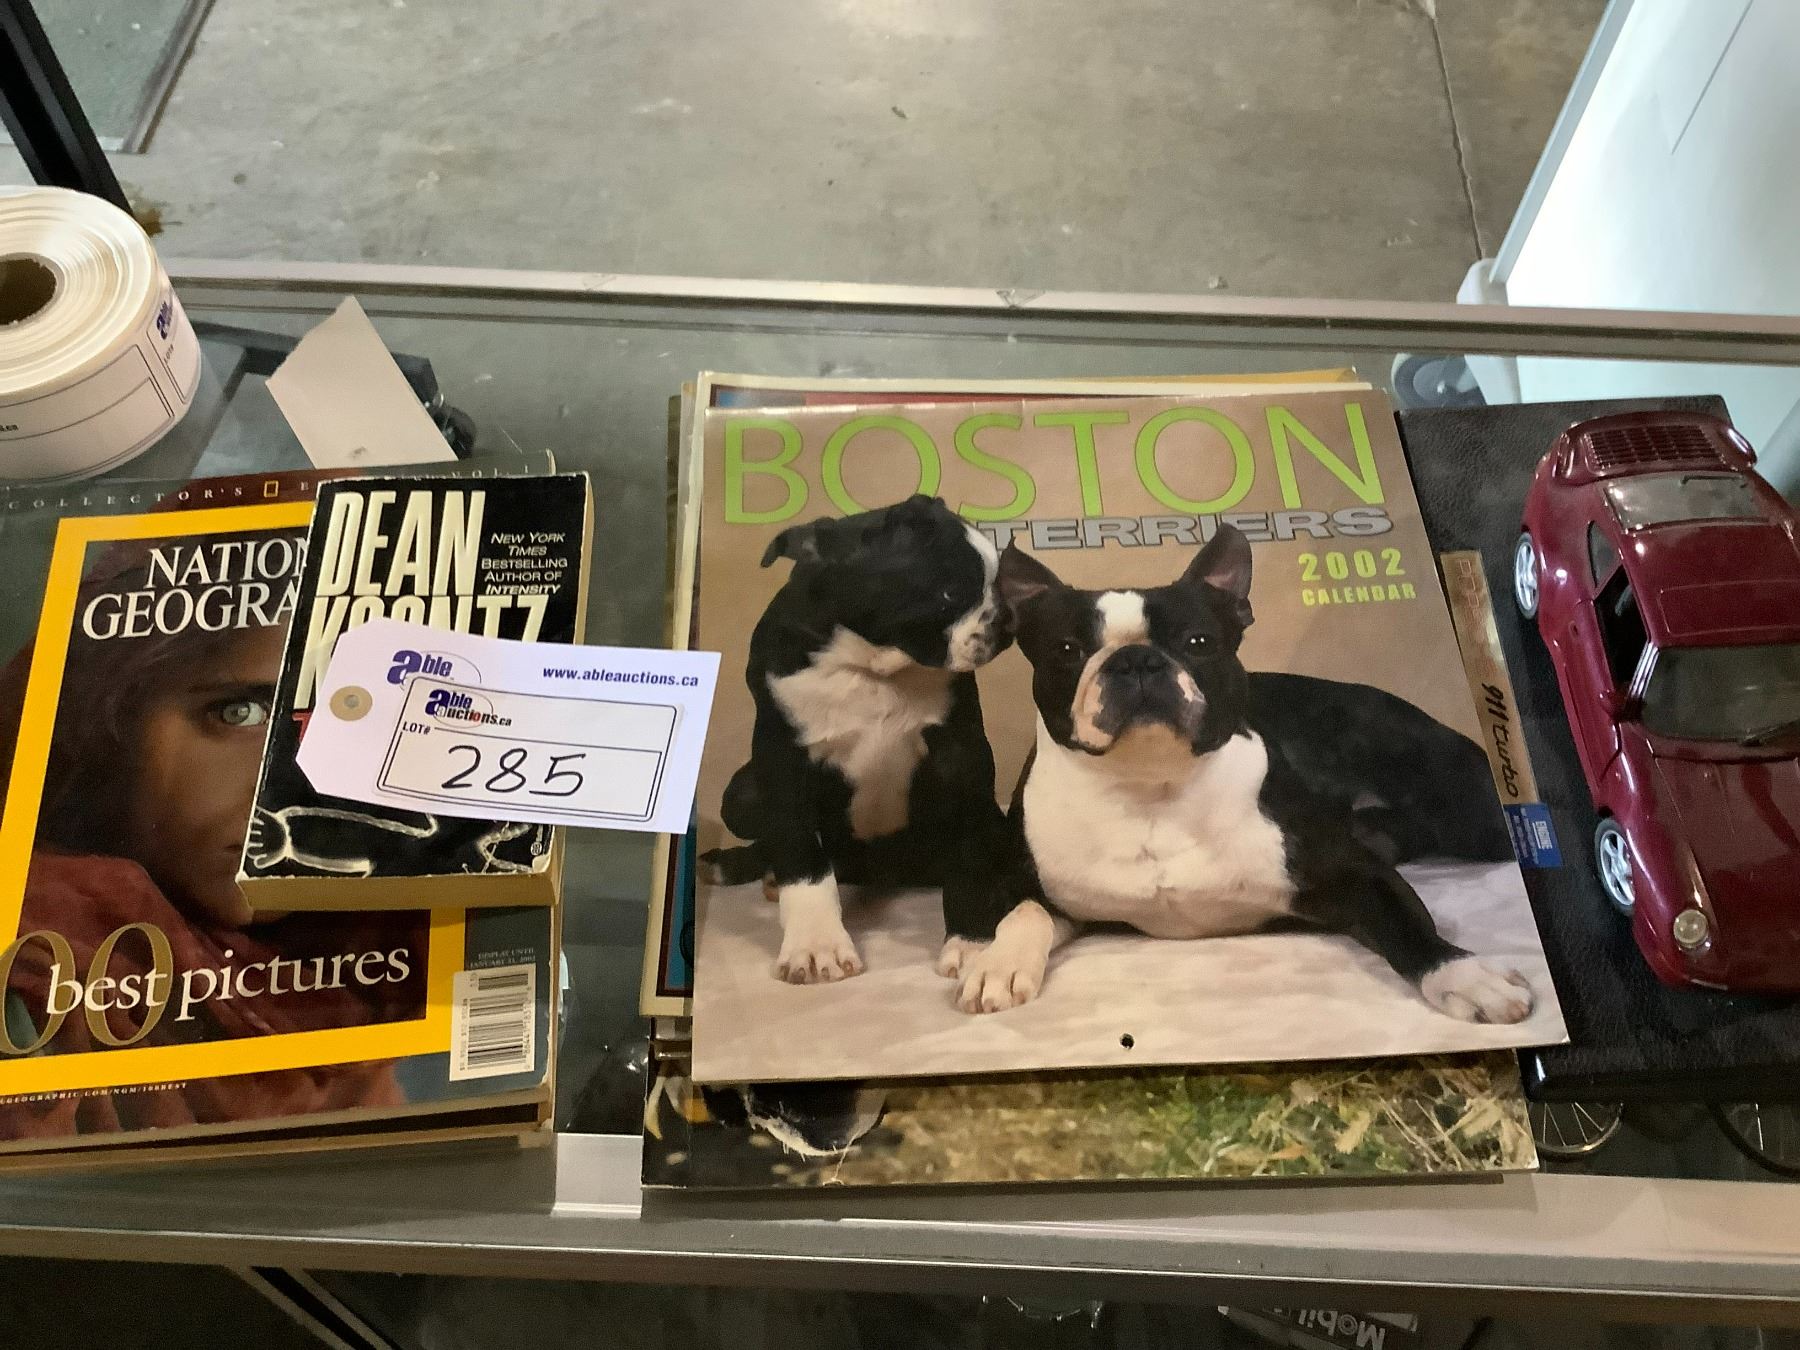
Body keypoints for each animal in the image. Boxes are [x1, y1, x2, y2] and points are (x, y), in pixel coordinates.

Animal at [704, 495, 1010, 984]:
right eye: (949, 594)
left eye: (996, 582)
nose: (1007, 618)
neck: (870, 663)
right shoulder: (783, 763)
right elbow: (800, 854)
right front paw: (815, 945)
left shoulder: (961, 761)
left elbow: (971, 859)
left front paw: (973, 944)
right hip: (741, 794)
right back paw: (737, 866)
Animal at [937, 522, 1535, 1024]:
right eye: (1067, 649)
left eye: (1198, 642)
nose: (1135, 660)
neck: (1152, 786)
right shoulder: (1046, 885)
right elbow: (1023, 912)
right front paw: (997, 963)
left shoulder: (1354, 876)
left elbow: (1410, 924)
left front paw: (1465, 975)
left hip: (1472, 815)